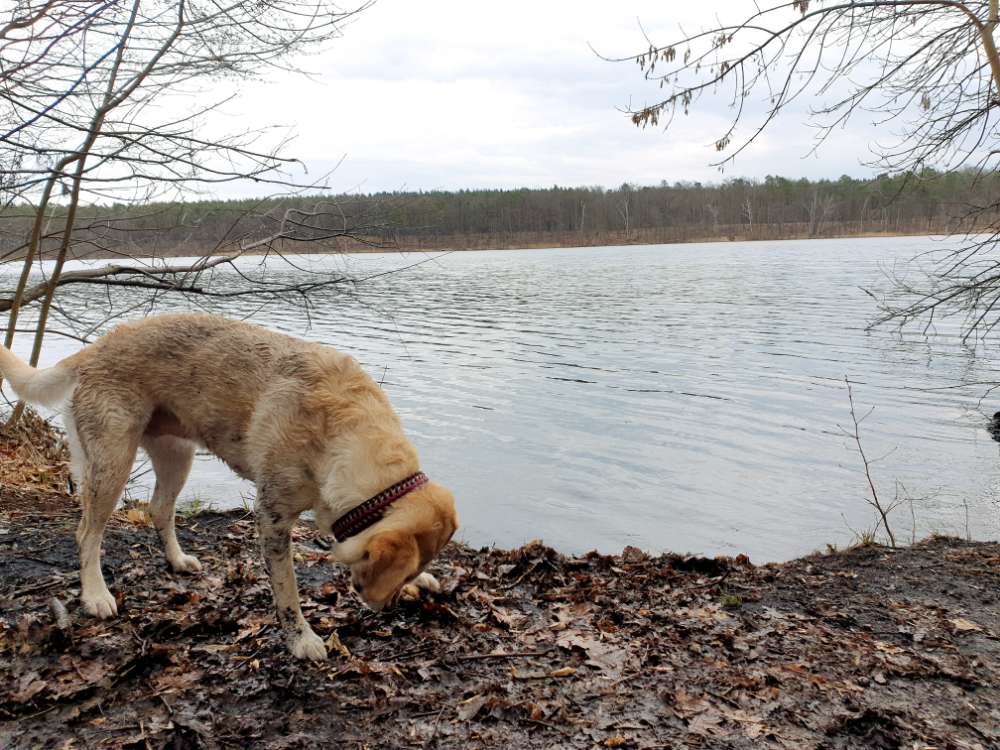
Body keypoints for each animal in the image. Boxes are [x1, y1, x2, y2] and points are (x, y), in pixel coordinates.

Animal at [0, 314, 458, 660]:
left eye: (412, 571)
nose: (387, 605)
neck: (345, 430)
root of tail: (95, 348)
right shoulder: (272, 518)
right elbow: (287, 592)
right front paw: (302, 639)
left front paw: (424, 581)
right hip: (111, 462)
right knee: (87, 533)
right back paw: (96, 594)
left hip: (175, 457)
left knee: (159, 509)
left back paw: (177, 560)